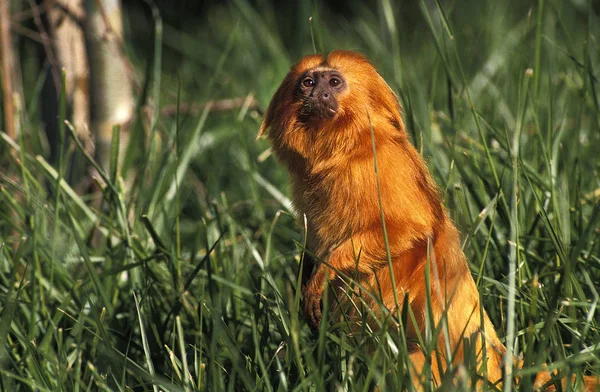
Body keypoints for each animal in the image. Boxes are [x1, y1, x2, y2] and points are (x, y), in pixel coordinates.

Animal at [256, 50, 596, 390]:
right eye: (308, 82)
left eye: (334, 82)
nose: (318, 94)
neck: (342, 151)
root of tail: (496, 358)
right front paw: (307, 274)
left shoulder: (383, 165)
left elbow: (407, 230)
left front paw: (324, 273)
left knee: (411, 358)